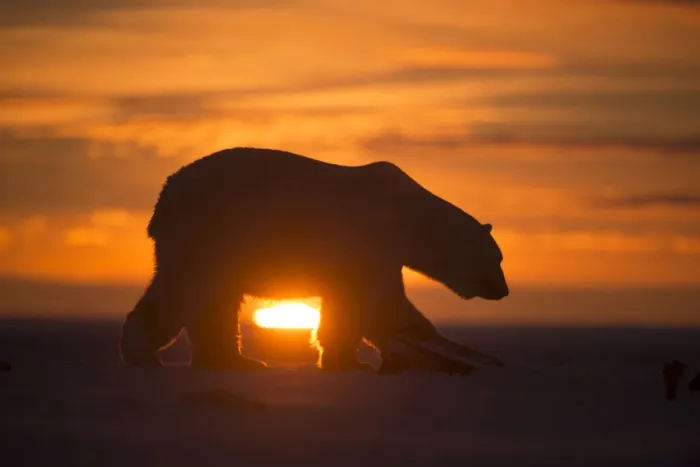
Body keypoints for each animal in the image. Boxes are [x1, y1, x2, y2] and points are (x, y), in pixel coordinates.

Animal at [119, 147, 509, 371]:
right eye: (498, 259)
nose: (503, 291)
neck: (408, 214)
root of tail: (164, 198)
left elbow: (344, 304)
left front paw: (348, 358)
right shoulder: (373, 241)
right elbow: (378, 302)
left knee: (217, 301)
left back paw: (237, 360)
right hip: (212, 232)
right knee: (187, 288)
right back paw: (143, 353)